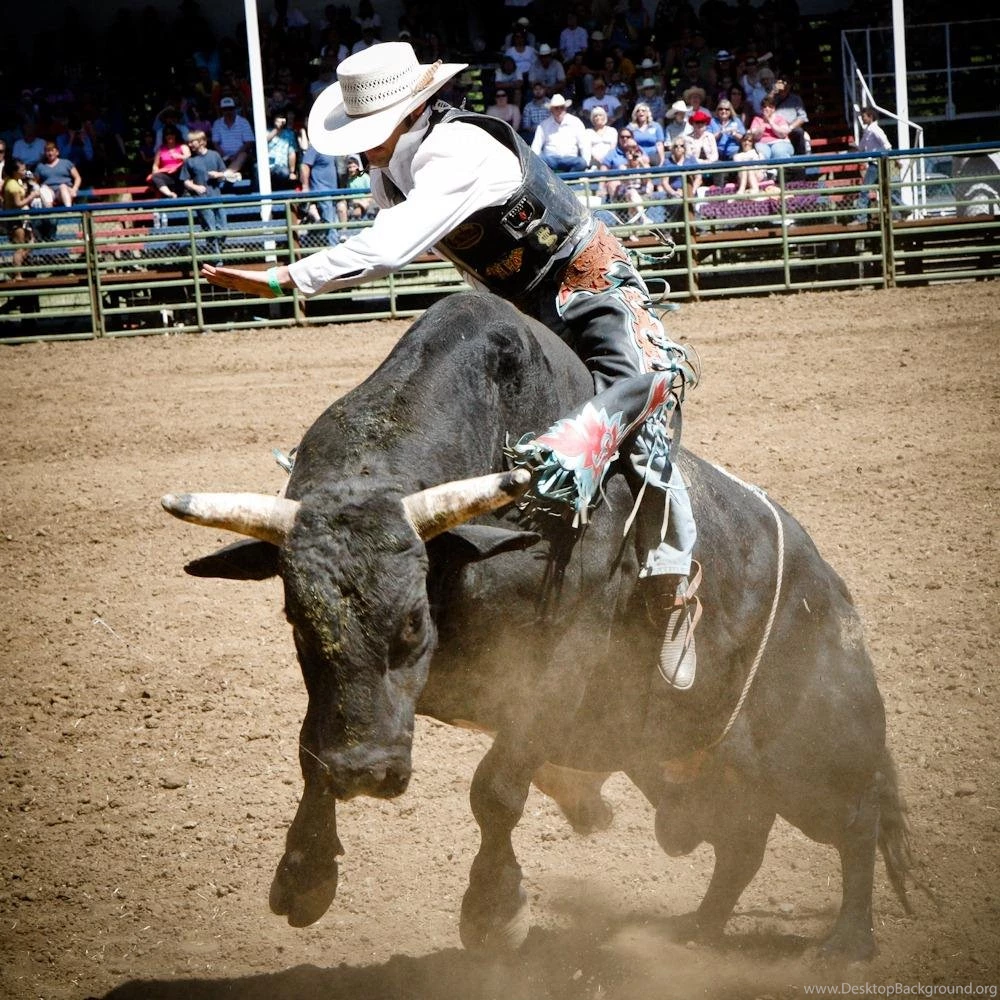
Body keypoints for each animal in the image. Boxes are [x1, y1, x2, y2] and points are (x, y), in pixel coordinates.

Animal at [162, 290, 911, 962]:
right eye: (296, 620)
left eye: (413, 623)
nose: (364, 772)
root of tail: (833, 593)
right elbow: (310, 745)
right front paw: (304, 877)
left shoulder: (555, 673)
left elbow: (495, 789)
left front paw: (493, 912)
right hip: (702, 763)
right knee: (743, 840)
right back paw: (696, 932)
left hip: (817, 756)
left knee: (860, 819)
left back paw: (846, 943)